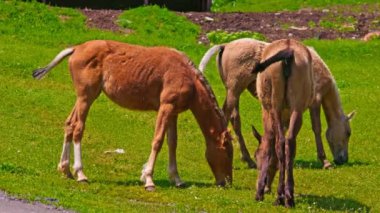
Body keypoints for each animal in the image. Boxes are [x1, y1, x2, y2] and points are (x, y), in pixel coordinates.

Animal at [32, 39, 233, 191]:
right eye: (227, 152)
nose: (226, 182)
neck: (187, 77)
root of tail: (76, 49)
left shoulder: (173, 113)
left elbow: (172, 143)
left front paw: (176, 179)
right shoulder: (166, 107)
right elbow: (158, 141)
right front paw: (148, 179)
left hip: (84, 98)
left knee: (69, 124)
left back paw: (65, 170)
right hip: (86, 97)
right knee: (78, 129)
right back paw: (81, 174)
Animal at [199, 37, 354, 168]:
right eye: (348, 133)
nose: (343, 159)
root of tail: (225, 45)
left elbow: (283, 128)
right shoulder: (314, 101)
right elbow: (317, 128)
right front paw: (324, 160)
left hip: (234, 92)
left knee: (234, 119)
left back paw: (248, 159)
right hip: (234, 90)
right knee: (225, 116)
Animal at [252, 39, 314, 207]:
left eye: (256, 155)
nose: (267, 186)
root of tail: (288, 52)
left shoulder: (265, 112)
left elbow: (269, 144)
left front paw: (259, 192)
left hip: (275, 103)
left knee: (280, 142)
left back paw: (279, 196)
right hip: (298, 104)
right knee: (290, 142)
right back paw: (289, 196)